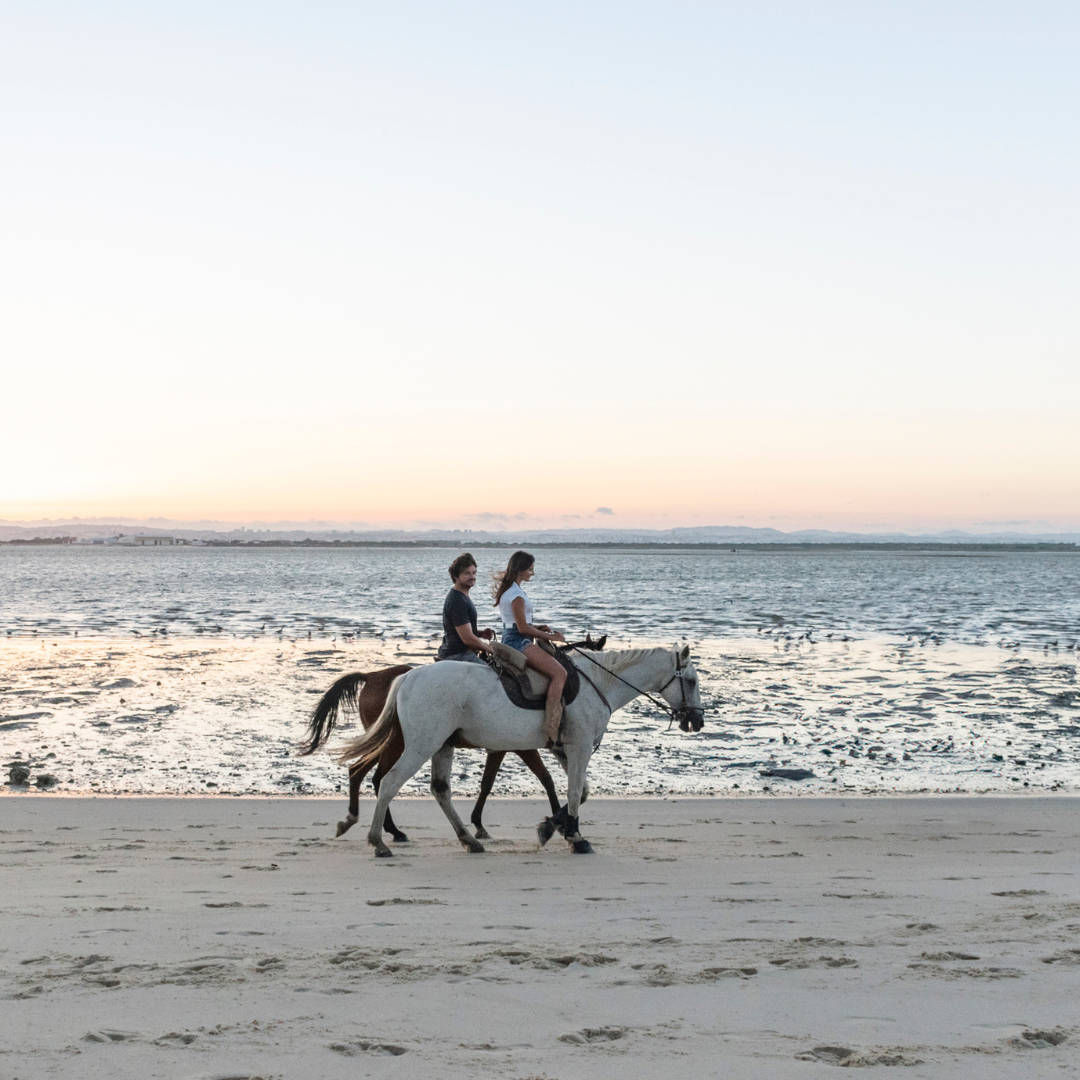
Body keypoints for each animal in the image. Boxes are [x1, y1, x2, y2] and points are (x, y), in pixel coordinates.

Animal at [298, 656, 561, 842]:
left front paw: (478, 824)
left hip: (390, 742)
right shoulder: (520, 747)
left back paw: (368, 823)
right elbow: (545, 778)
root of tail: (371, 675)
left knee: (359, 771)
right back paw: (389, 831)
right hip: (400, 743)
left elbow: (488, 783)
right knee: (380, 777)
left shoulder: (501, 748)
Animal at [339, 643, 708, 855]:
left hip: (443, 745)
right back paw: (379, 840)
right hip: (420, 744)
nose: (698, 721)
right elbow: (573, 792)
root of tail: (407, 677)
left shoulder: (564, 750)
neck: (599, 684)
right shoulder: (578, 748)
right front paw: (575, 837)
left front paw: (554, 827)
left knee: (439, 790)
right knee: (388, 782)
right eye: (690, 681)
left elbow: (580, 791)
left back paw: (468, 840)